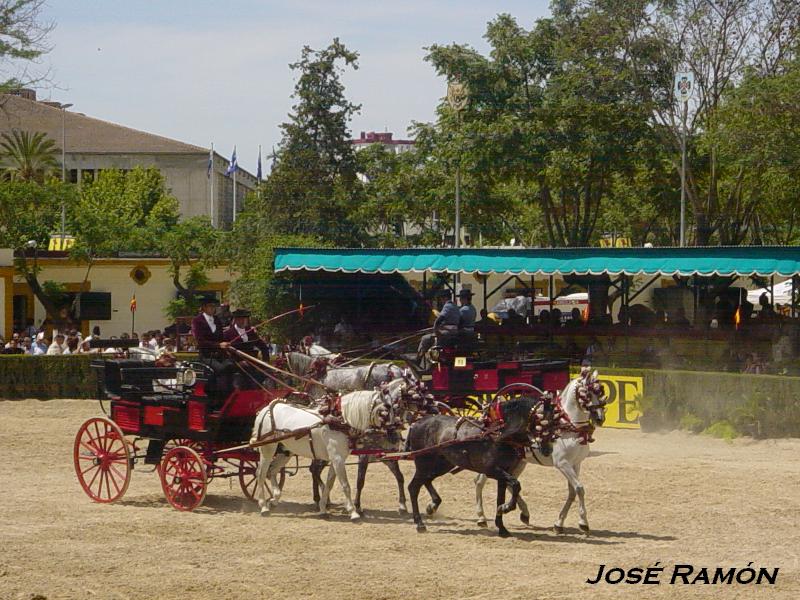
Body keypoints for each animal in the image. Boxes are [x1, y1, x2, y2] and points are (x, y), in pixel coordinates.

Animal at [252, 378, 406, 516]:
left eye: (397, 408)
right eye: (386, 411)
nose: (395, 438)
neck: (341, 420)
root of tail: (265, 410)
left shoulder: (337, 458)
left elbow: (330, 483)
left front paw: (323, 507)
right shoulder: (338, 458)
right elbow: (345, 485)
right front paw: (353, 511)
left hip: (285, 452)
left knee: (272, 471)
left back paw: (274, 498)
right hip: (267, 449)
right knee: (261, 473)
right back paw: (263, 505)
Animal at [406, 396, 556, 536]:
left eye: (554, 422)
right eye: (541, 422)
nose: (548, 450)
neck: (499, 435)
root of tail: (417, 423)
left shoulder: (504, 473)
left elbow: (501, 497)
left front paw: (502, 527)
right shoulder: (492, 470)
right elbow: (516, 484)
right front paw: (506, 508)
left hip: (442, 464)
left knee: (426, 480)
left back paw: (432, 506)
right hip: (423, 463)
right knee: (413, 487)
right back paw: (419, 523)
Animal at [476, 370, 608, 536]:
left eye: (600, 391)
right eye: (587, 393)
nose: (600, 418)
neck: (567, 425)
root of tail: (490, 416)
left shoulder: (576, 464)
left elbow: (572, 492)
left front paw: (559, 524)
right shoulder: (563, 464)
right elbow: (579, 489)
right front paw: (583, 523)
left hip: (520, 462)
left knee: (510, 482)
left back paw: (524, 513)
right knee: (480, 481)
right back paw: (481, 517)